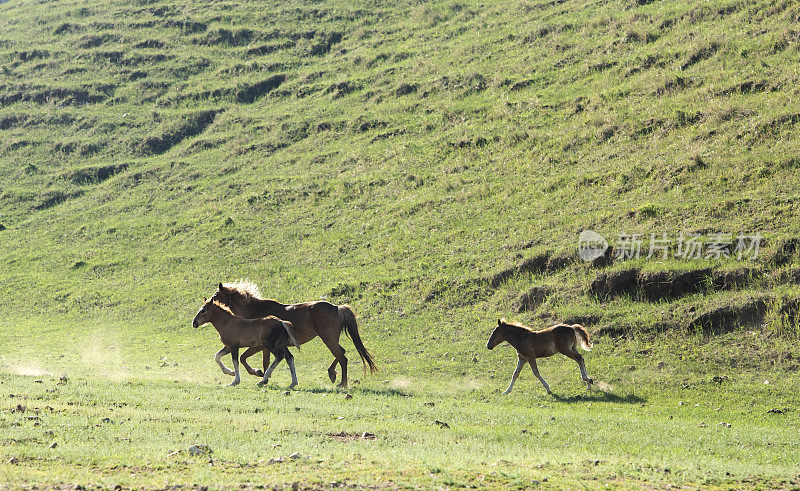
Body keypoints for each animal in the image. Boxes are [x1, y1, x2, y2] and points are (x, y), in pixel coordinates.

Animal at [211, 280, 376, 388]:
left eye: (215, 296)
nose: (209, 302)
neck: (254, 312)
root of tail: (337, 308)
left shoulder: (257, 345)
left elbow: (245, 359)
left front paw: (259, 374)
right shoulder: (260, 346)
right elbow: (259, 361)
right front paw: (262, 376)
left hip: (328, 339)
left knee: (342, 357)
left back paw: (342, 383)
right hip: (331, 339)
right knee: (341, 352)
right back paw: (332, 374)